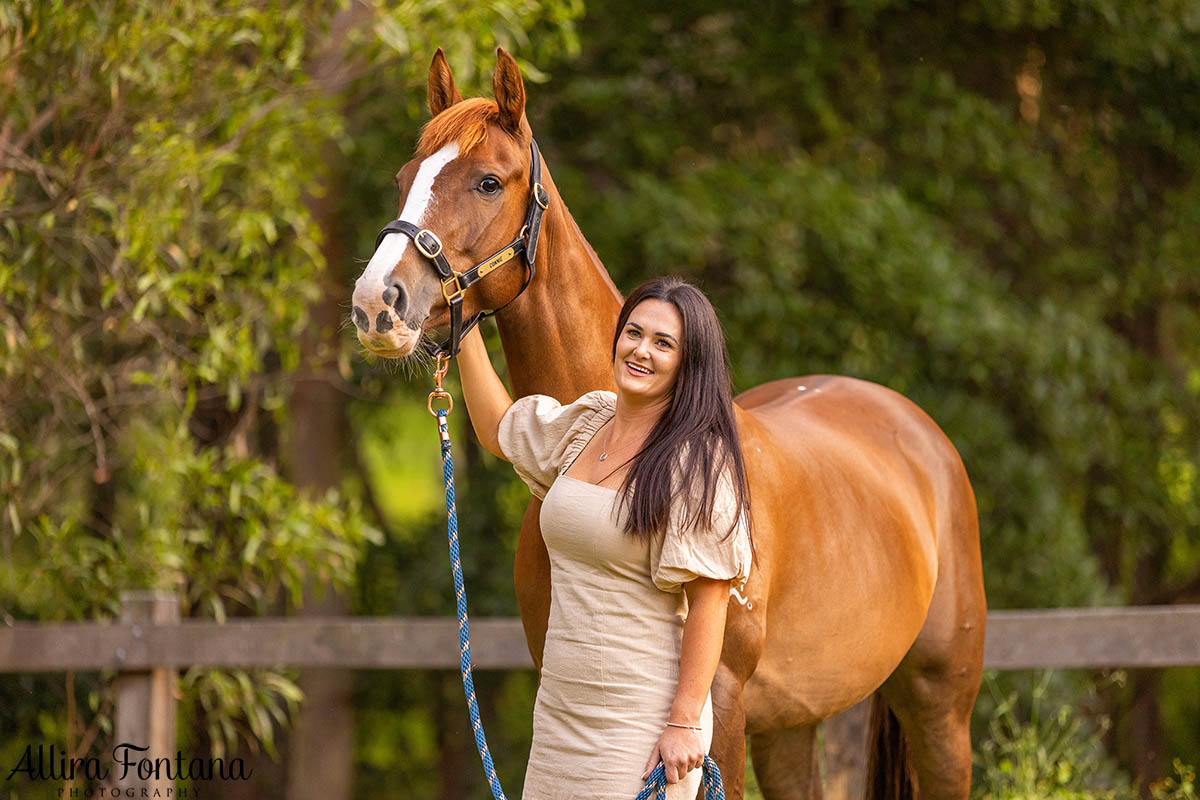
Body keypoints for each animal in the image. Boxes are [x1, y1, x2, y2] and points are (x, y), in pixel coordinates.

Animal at [350, 50, 988, 800]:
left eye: (487, 181)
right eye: (404, 178)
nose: (377, 305)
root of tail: (915, 430)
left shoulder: (721, 708)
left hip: (939, 710)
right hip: (794, 725)